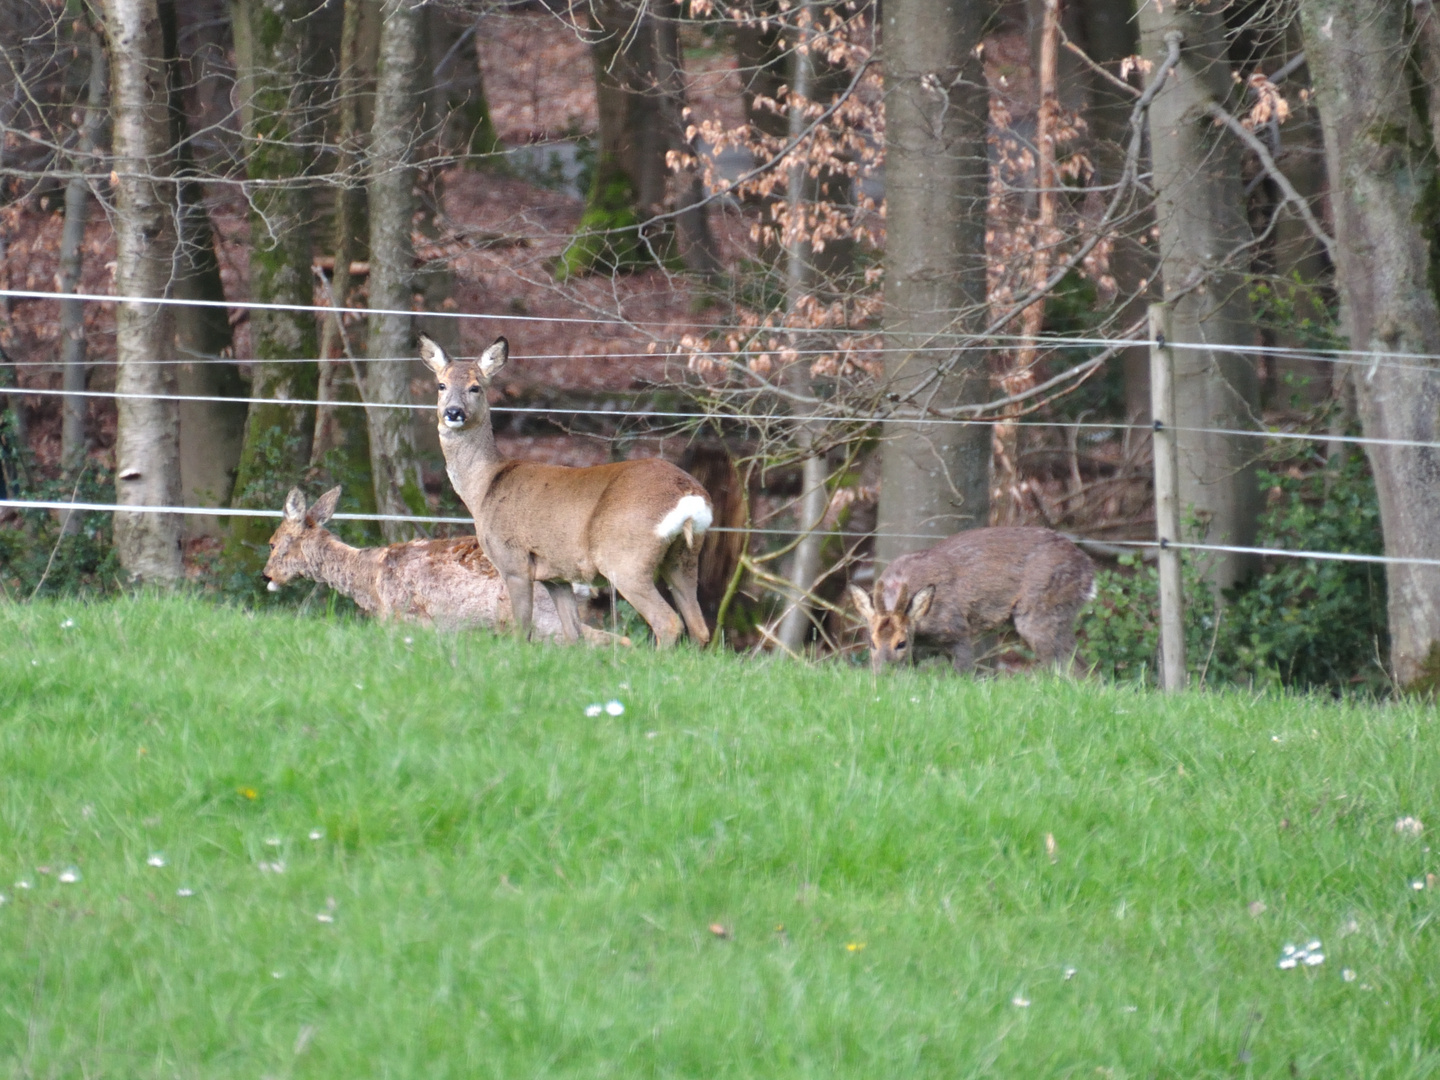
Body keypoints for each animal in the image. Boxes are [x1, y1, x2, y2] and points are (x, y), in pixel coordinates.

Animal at [267, 486, 627, 648]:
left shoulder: (410, 619)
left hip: (538, 619)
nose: (266, 574)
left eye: (272, 542)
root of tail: (582, 585)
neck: (371, 579)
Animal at [420, 334, 714, 648]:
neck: (484, 486)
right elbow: (573, 635)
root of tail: (691, 497)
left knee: (668, 622)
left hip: (627, 558)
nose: (453, 412)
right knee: (700, 627)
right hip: (683, 557)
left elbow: (522, 631)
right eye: (441, 385)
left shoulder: (513, 561)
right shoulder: (557, 576)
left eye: (476, 387)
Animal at [846, 529, 1094, 673]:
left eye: (901, 643)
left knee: (1076, 670)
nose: (882, 675)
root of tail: (1088, 569)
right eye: (871, 643)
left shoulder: (958, 631)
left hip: (1042, 613)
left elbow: (962, 675)